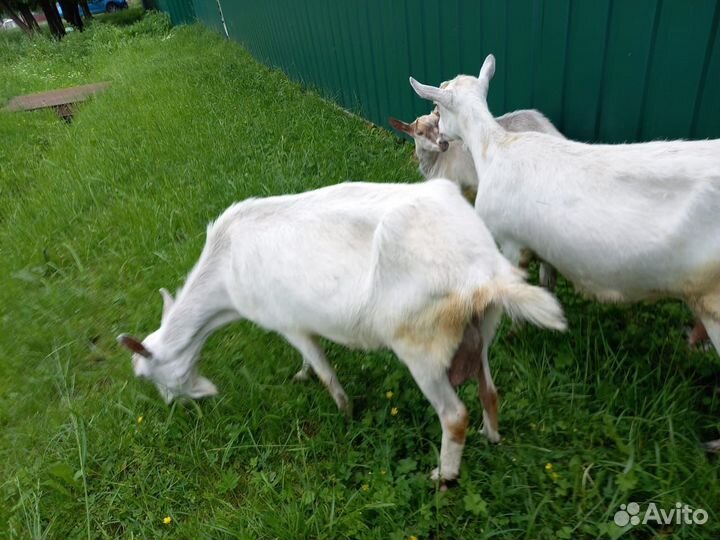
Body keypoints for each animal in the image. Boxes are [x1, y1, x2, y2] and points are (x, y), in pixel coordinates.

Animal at [118, 179, 566, 482]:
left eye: (149, 376)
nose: (175, 405)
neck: (225, 271)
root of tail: (482, 270)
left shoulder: (288, 322)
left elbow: (324, 369)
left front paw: (345, 411)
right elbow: (309, 363)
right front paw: (301, 375)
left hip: (421, 345)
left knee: (454, 416)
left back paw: (444, 476)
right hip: (481, 331)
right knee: (489, 390)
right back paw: (493, 439)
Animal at [410, 55, 720, 450]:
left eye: (437, 109)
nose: (444, 141)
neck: (495, 148)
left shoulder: (509, 242)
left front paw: (515, 334)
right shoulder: (543, 245)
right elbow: (547, 280)